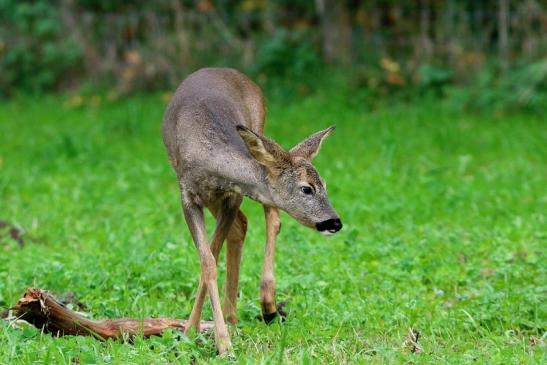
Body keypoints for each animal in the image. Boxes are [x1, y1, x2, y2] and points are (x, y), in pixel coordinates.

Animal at [162, 67, 342, 354]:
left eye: (324, 184)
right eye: (307, 188)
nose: (334, 222)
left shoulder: (231, 196)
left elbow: (212, 254)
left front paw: (219, 341)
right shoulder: (188, 196)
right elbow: (208, 261)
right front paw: (197, 334)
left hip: (259, 124)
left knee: (272, 217)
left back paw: (267, 305)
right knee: (242, 225)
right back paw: (232, 318)